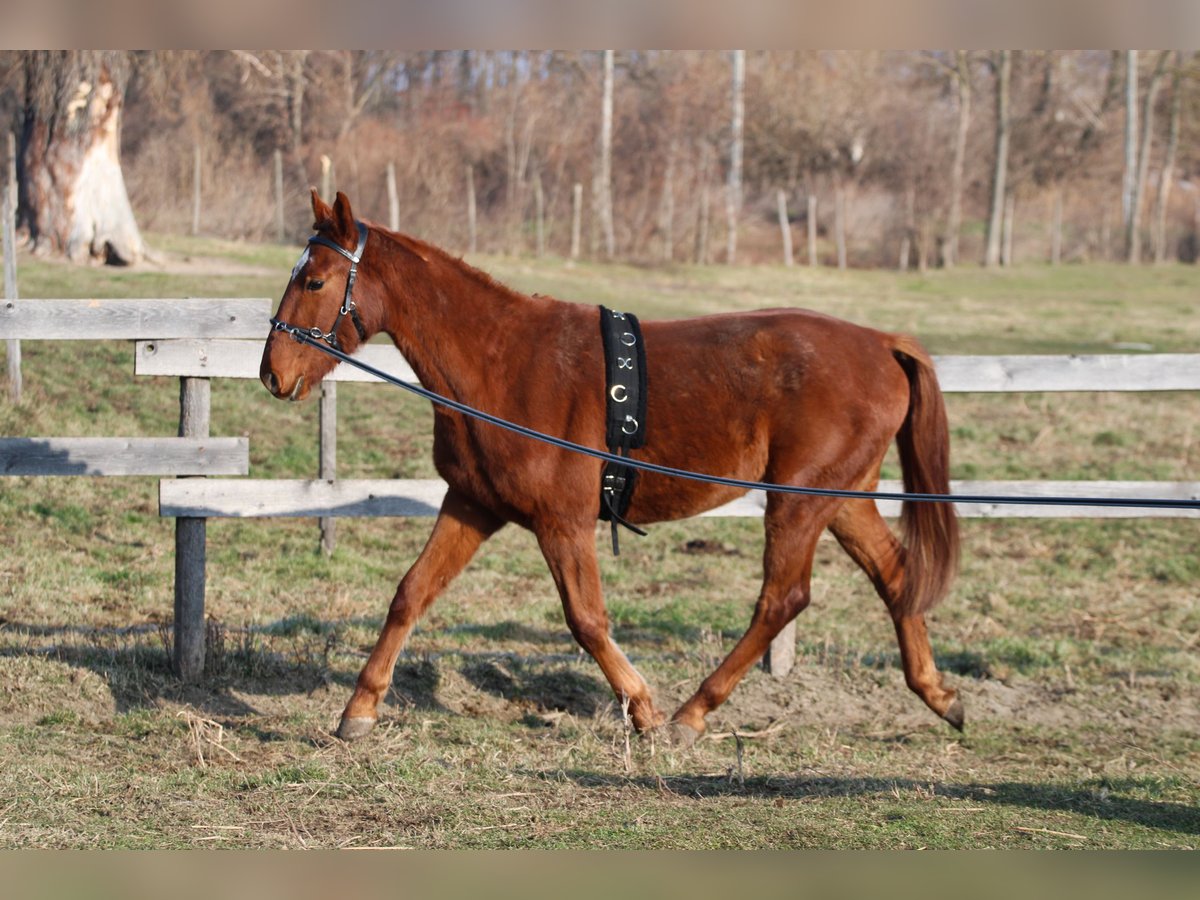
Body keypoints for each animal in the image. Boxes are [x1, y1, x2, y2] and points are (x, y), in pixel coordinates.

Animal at [260, 190, 962, 746]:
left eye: (315, 282)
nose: (273, 373)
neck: (501, 363)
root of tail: (881, 343)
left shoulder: (564, 523)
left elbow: (587, 619)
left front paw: (643, 709)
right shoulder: (472, 504)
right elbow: (410, 594)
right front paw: (359, 709)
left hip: (799, 501)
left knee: (781, 599)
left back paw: (691, 713)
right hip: (841, 498)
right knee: (897, 576)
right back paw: (938, 694)